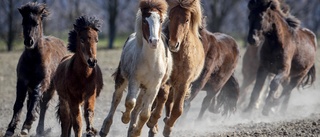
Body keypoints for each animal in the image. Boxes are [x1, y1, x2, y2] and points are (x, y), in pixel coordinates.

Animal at [4, 2, 67, 136]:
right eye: (23, 23)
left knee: (43, 106)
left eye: (36, 23)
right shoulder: (22, 82)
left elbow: (35, 100)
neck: (33, 59)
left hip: (51, 88)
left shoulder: (42, 82)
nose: (29, 41)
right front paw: (10, 129)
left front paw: (26, 125)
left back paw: (40, 129)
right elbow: (18, 103)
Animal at [99, 0, 172, 136]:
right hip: (122, 78)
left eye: (160, 20)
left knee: (138, 106)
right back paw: (104, 129)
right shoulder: (134, 80)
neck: (151, 62)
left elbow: (145, 114)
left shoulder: (154, 86)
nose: (154, 41)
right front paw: (125, 118)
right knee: (116, 99)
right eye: (145, 21)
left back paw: (132, 129)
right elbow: (129, 102)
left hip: (144, 88)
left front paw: (136, 131)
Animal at [148, 0, 205, 136]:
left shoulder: (183, 83)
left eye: (187, 20)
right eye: (170, 17)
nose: (173, 44)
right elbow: (161, 98)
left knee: (170, 102)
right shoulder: (165, 81)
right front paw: (153, 121)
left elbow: (178, 109)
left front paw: (168, 127)